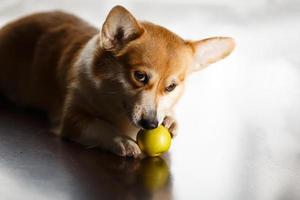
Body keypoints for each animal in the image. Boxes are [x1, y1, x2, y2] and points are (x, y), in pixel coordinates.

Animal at [0, 5, 234, 157]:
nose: (151, 124)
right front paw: (121, 140)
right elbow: (101, 125)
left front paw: (170, 120)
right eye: (140, 76)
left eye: (171, 87)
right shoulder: (72, 119)